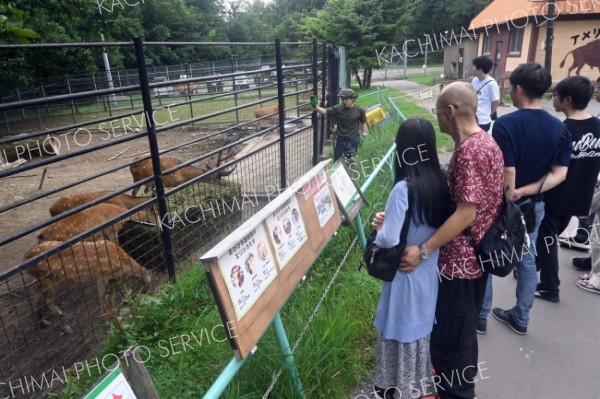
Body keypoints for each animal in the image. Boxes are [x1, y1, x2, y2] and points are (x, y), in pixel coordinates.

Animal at [24, 241, 154, 328]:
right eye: (150, 284)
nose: (152, 294)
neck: (121, 263)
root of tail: (25, 257)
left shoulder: (111, 278)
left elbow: (112, 292)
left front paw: (124, 301)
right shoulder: (101, 274)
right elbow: (102, 296)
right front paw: (107, 320)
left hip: (43, 280)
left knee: (35, 297)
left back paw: (44, 322)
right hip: (50, 278)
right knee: (47, 299)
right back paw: (62, 318)